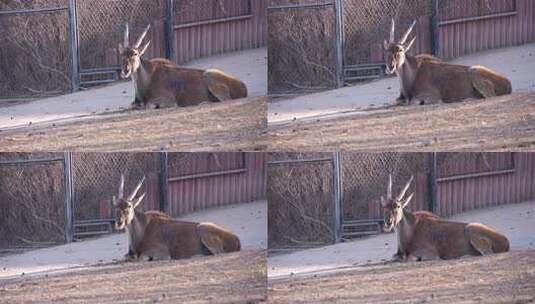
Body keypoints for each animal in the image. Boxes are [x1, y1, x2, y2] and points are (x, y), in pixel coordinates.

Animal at [114, 175, 242, 260]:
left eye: (129, 206)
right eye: (116, 205)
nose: (119, 222)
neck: (143, 228)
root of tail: (236, 239)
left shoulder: (162, 254)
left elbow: (140, 258)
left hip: (203, 227)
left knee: (218, 253)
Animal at [118, 24, 248, 109]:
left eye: (135, 54)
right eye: (122, 54)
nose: (125, 71)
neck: (149, 77)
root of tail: (243, 86)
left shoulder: (168, 101)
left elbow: (148, 105)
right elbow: (133, 105)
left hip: (209, 75)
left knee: (225, 100)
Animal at [382, 175, 510, 262]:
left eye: (398, 206)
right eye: (384, 206)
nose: (388, 223)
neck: (412, 229)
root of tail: (505, 240)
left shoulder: (431, 254)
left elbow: (410, 258)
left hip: (471, 228)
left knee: (487, 253)